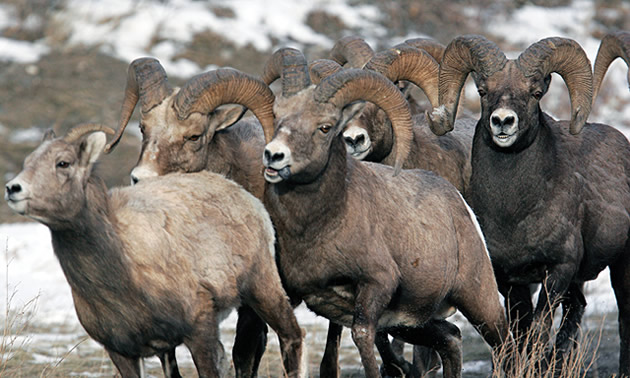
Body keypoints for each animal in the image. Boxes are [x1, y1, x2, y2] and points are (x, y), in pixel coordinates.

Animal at [4, 125, 306, 378]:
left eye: (63, 163)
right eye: (29, 162)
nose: (12, 189)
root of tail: (243, 195)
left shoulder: (200, 332)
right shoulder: (123, 353)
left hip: (262, 289)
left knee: (292, 336)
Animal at [256, 48, 512, 376]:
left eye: (325, 127)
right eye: (277, 116)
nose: (274, 156)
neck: (315, 228)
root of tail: (458, 203)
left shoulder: (376, 285)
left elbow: (364, 337)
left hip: (478, 300)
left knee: (503, 343)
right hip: (412, 322)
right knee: (451, 339)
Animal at [428, 34, 630, 376]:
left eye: (535, 93)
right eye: (483, 91)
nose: (503, 122)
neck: (513, 215)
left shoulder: (558, 272)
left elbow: (536, 332)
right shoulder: (511, 281)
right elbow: (516, 337)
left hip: (621, 267)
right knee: (577, 309)